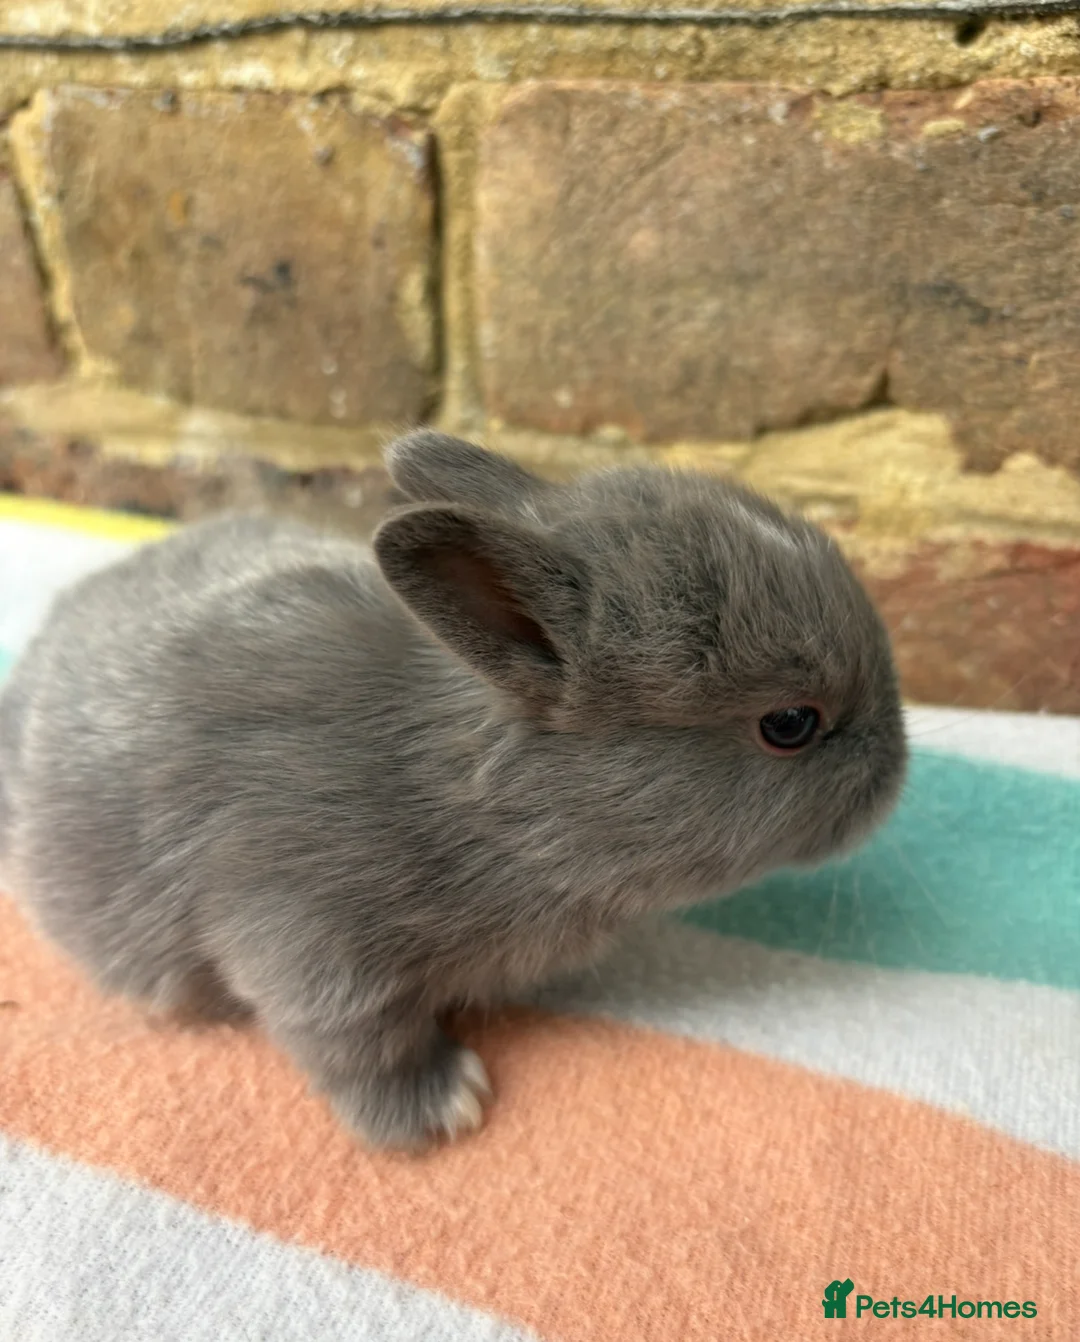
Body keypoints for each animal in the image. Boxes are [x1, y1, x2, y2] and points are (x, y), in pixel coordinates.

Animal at [0, 431, 907, 1150]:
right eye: (789, 724)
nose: (898, 773)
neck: (497, 809)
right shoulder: (301, 934)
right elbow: (354, 1035)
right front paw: (442, 1109)